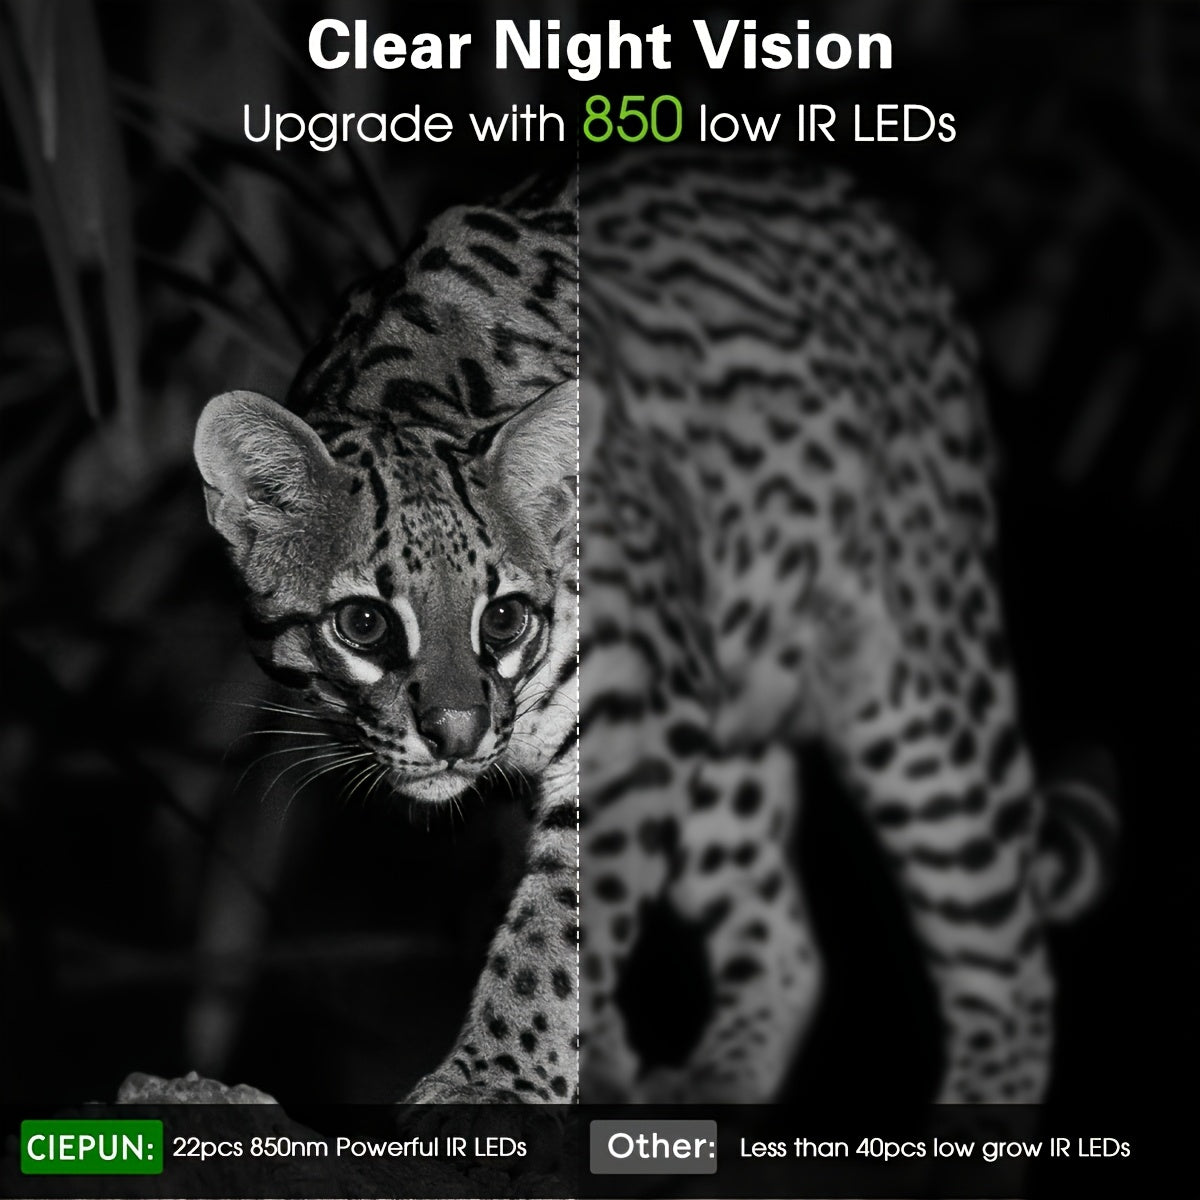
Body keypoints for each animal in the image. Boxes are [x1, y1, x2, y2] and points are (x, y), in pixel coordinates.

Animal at [193, 152, 1113, 1108]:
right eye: (365, 624)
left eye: (505, 617)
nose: (456, 733)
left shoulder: (636, 714)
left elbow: (556, 925)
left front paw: (493, 1080)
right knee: (787, 946)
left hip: (914, 680)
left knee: (1007, 961)